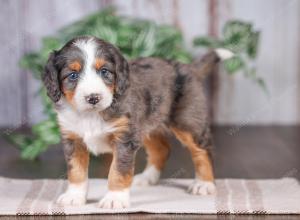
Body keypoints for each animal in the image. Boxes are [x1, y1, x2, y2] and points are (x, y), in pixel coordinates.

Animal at [42, 35, 233, 209]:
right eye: (73, 75)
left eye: (104, 71)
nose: (93, 98)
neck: (91, 115)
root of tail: (188, 67)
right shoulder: (73, 138)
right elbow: (76, 171)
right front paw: (74, 196)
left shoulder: (124, 138)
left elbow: (118, 171)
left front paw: (115, 199)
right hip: (146, 125)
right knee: (162, 150)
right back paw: (147, 178)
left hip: (187, 121)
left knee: (203, 150)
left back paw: (204, 184)